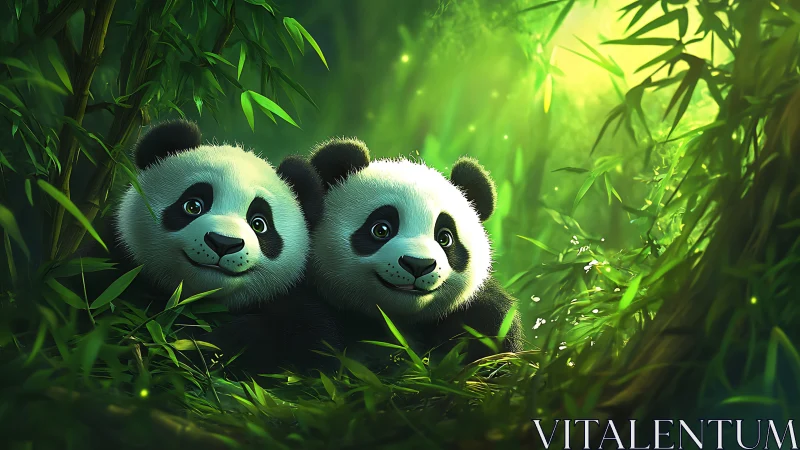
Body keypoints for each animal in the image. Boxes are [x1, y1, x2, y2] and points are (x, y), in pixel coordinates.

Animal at [75, 120, 338, 374]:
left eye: (259, 224)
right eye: (193, 206)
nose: (223, 243)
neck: (198, 301)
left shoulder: (296, 306)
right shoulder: (111, 265)